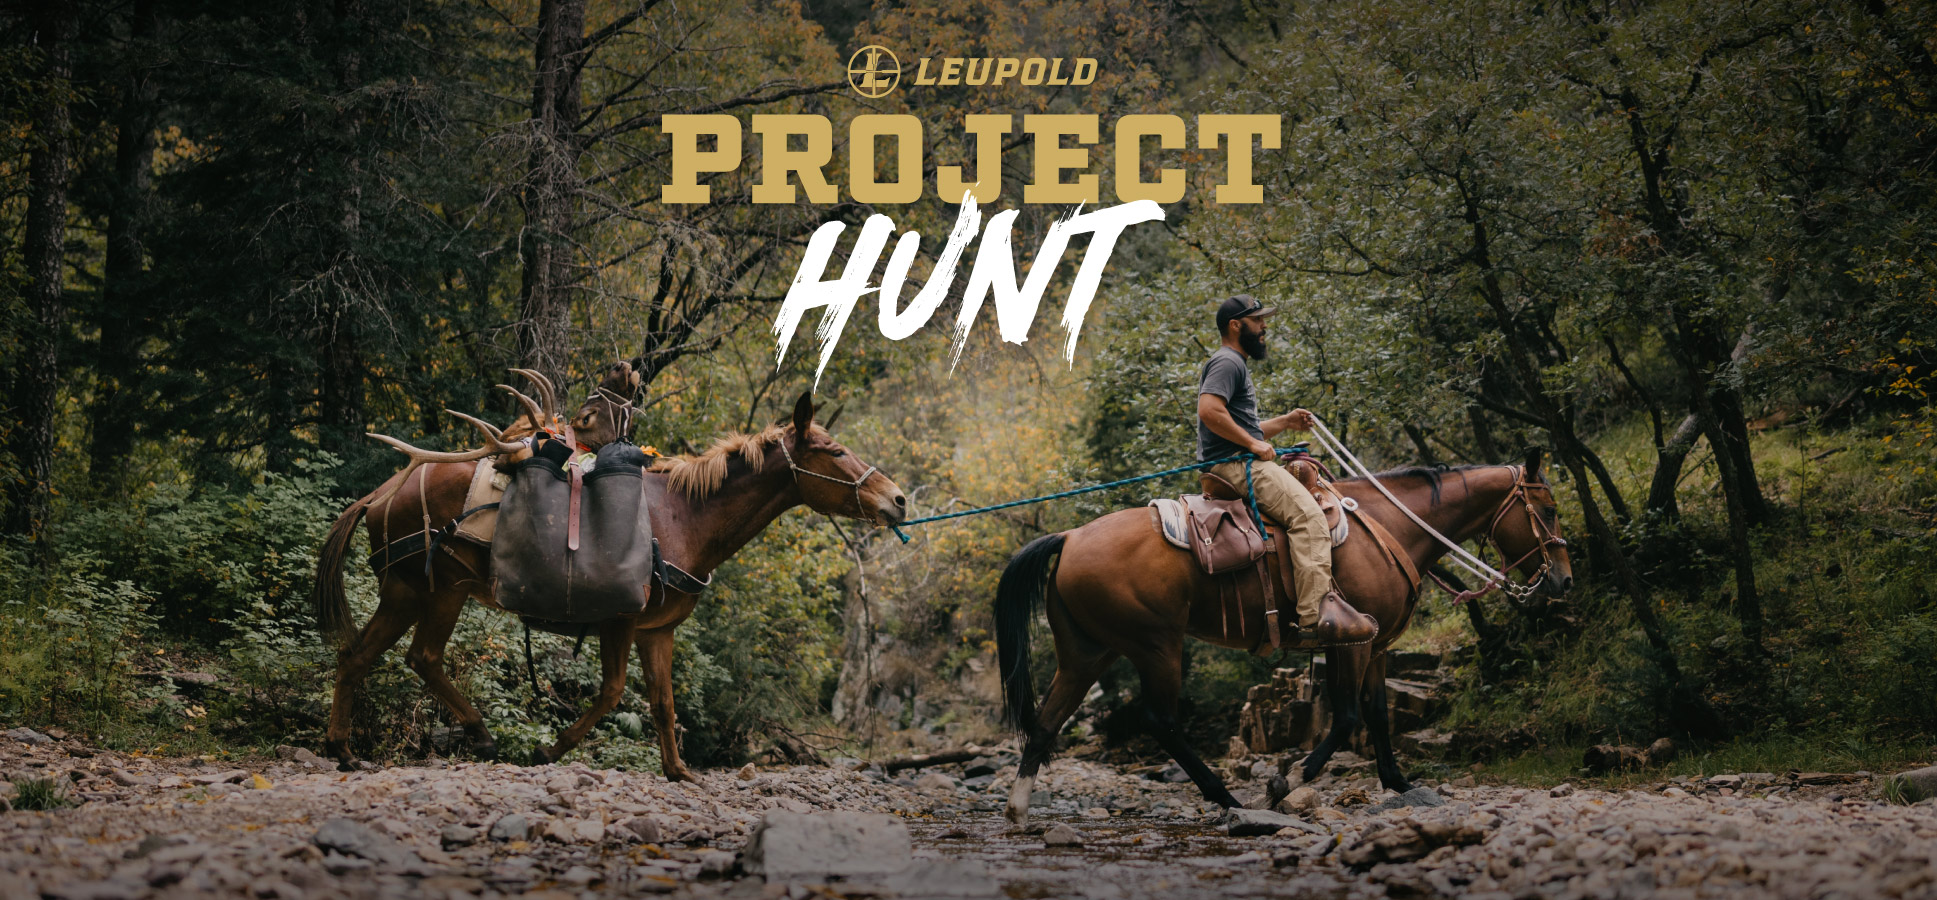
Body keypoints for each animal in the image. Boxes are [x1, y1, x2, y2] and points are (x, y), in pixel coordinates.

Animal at [309, 385, 906, 778]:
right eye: (833, 451)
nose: (897, 499)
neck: (685, 519)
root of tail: (382, 493)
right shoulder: (620, 620)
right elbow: (614, 692)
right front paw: (550, 750)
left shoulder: (657, 631)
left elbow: (663, 703)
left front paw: (678, 771)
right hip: (430, 589)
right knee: (409, 657)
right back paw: (466, 733)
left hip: (418, 591)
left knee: (372, 657)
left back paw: (348, 749)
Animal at [991, 449, 1565, 820]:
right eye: (1550, 509)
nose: (1563, 579)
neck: (1389, 525)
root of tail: (1069, 537)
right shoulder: (1351, 641)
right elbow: (1347, 716)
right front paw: (1288, 780)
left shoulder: (1376, 646)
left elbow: (1377, 714)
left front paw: (1398, 782)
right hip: (1156, 646)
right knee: (1161, 721)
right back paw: (1226, 797)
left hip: (1088, 652)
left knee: (1046, 721)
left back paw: (1018, 810)